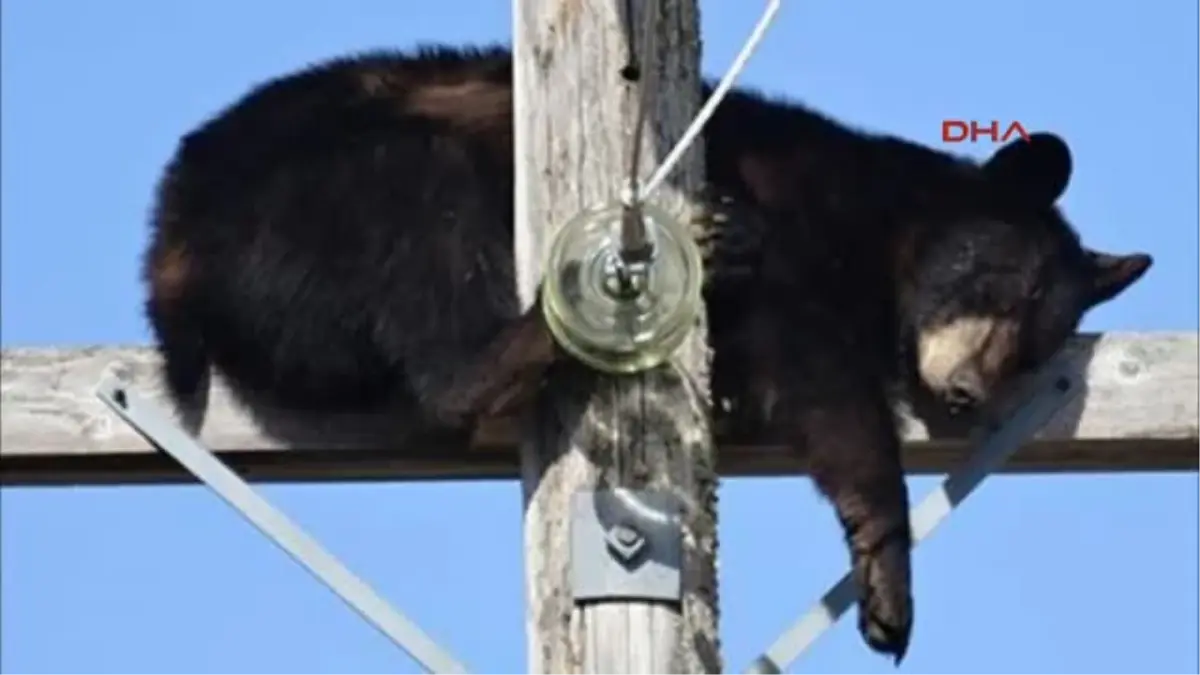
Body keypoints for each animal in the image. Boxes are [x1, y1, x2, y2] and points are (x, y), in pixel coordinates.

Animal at [140, 43, 1152, 662]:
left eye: (1037, 341)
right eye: (1000, 285)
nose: (970, 390)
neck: (872, 231)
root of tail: (171, 245)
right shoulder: (785, 214)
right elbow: (821, 381)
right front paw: (887, 576)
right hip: (320, 197)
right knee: (425, 214)